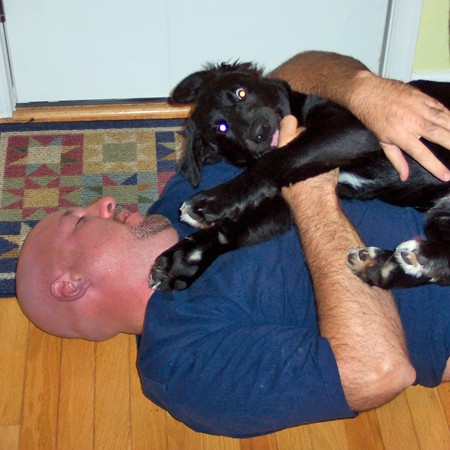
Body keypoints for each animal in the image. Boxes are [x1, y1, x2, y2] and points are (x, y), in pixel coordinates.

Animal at [151, 61, 450, 290]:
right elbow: (238, 225)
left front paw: (211, 201)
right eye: (221, 128)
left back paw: (413, 257)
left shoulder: (353, 128)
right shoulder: (289, 199)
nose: (259, 131)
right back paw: (380, 267)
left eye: (241, 92)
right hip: (438, 216)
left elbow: (279, 158)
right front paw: (186, 259)